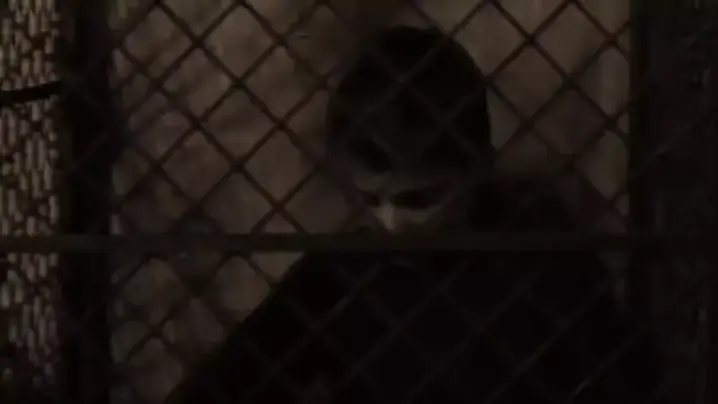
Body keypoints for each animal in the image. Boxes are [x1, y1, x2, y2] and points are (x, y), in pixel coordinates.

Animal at [166, 26, 659, 404]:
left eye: (420, 198)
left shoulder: (555, 236)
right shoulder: (326, 266)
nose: (394, 230)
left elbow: (617, 364)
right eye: (370, 198)